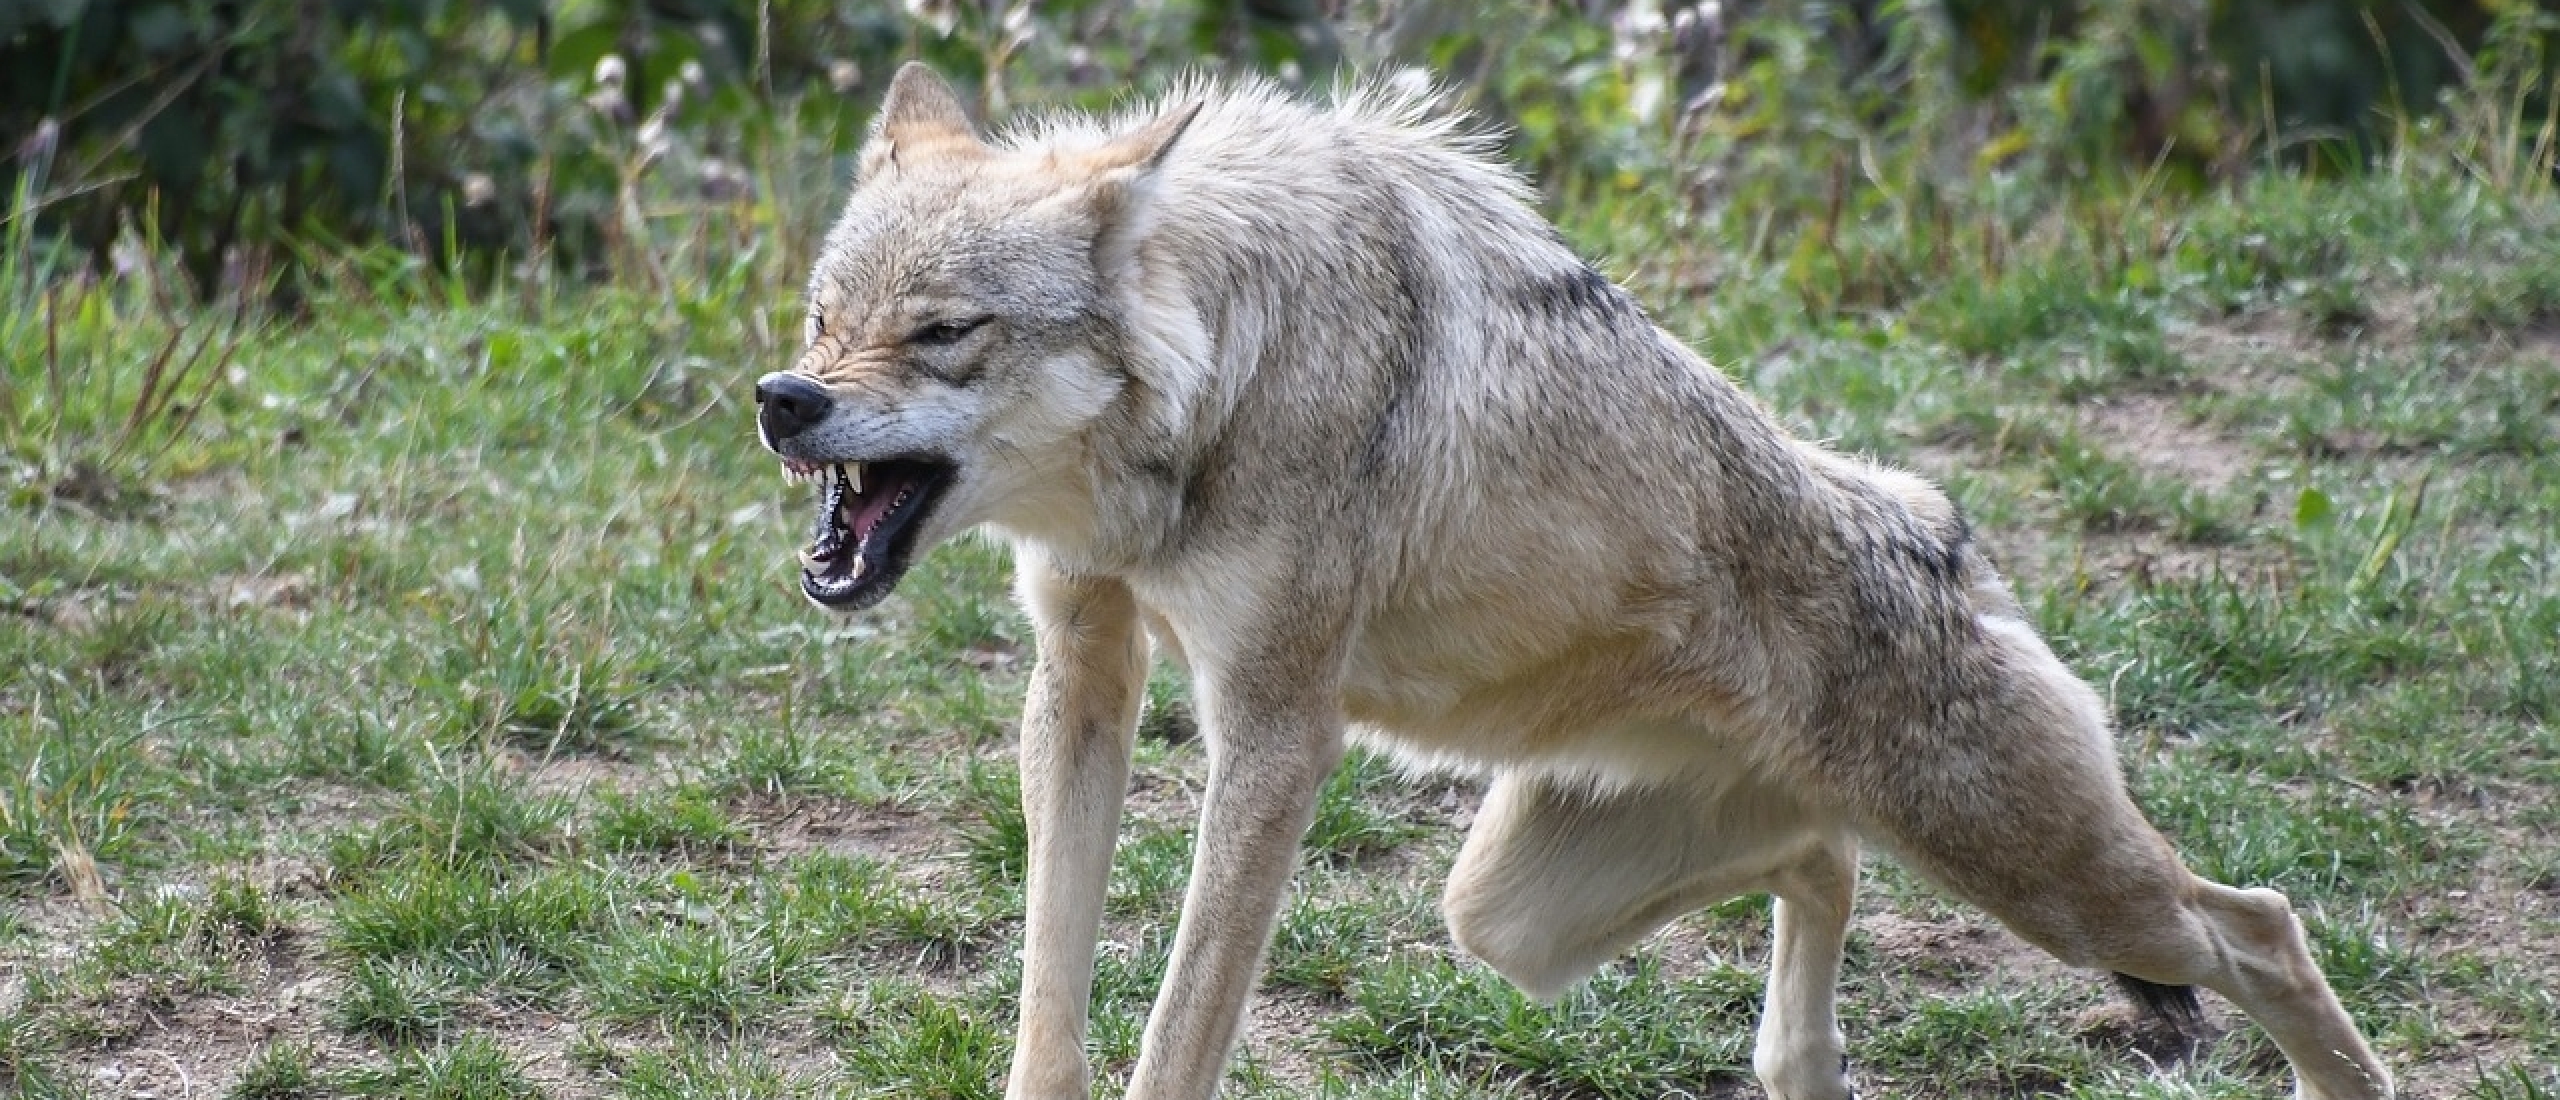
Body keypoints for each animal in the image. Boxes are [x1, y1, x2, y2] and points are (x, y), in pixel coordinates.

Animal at [747, 62, 2385, 1100]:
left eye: (943, 332)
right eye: (824, 317)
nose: (782, 400)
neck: (1221, 378)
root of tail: (1947, 531)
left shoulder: (1274, 732)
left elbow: (1178, 1022)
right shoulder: (1082, 672)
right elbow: (1051, 990)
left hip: (2057, 888)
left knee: (2263, 925)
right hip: (1509, 917)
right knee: (1822, 859)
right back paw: (1797, 1063)